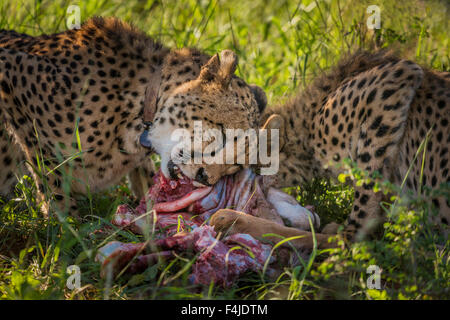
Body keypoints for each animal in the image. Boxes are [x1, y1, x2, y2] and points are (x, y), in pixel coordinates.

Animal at [0, 18, 268, 218]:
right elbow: (52, 180)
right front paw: (69, 232)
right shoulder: (10, 72)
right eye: (222, 133)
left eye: (235, 166)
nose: (205, 177)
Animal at [150, 51, 446, 249]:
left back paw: (232, 220)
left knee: (346, 239)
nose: (203, 176)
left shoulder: (395, 79)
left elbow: (356, 233)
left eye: (236, 162)